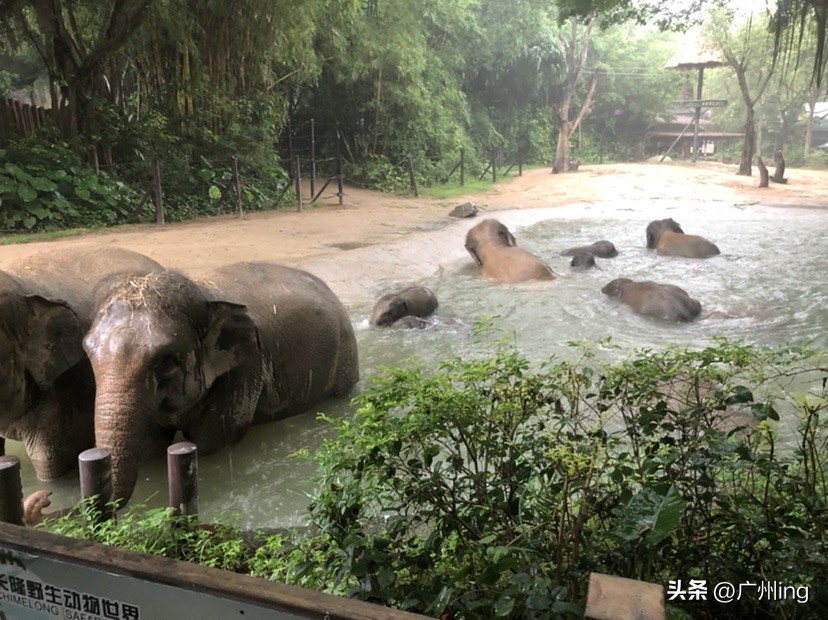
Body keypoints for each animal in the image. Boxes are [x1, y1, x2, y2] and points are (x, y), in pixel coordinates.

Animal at [82, 261, 360, 503]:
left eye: (167, 362)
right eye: (87, 351)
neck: (204, 295)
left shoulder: (244, 369)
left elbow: (211, 441)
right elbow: (152, 445)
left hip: (345, 355)